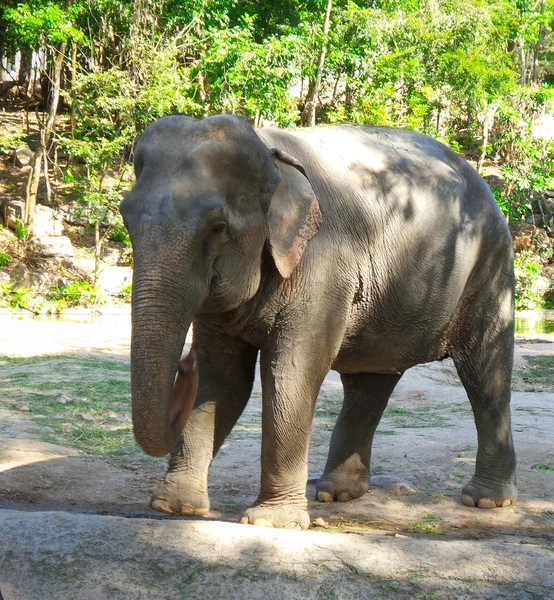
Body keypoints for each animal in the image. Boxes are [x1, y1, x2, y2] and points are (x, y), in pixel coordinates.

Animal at [119, 113, 512, 528]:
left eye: (217, 227)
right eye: (125, 217)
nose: (185, 362)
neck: (269, 149)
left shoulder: (324, 262)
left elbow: (291, 375)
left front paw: (272, 523)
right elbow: (223, 380)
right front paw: (173, 507)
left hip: (489, 267)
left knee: (485, 375)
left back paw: (485, 500)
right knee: (369, 383)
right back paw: (336, 494)